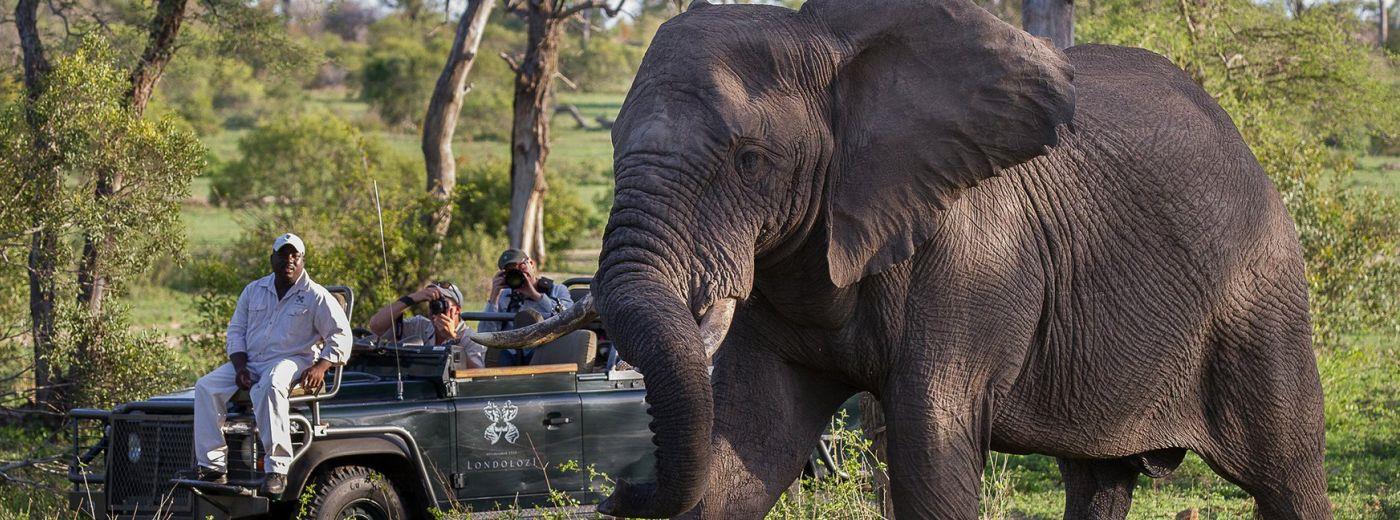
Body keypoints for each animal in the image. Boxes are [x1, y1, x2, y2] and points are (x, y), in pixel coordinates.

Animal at [473, 1, 1332, 520]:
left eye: (750, 162)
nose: (620, 490)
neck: (828, 49)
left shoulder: (974, 260)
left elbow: (929, 458)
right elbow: (744, 449)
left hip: (1261, 290)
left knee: (1288, 472)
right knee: (1098, 480)